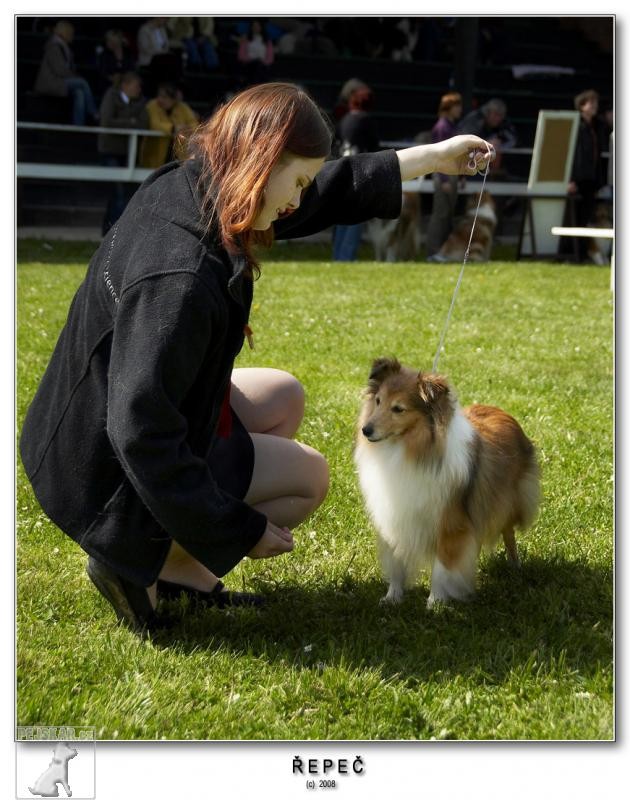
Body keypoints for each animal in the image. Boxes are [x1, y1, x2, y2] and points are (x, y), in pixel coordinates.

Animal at [358, 358, 540, 608]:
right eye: (378, 401)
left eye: (398, 409)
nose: (366, 430)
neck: (406, 449)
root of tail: (500, 410)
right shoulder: (395, 517)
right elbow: (396, 563)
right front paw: (392, 597)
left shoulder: (450, 524)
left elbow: (442, 568)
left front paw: (435, 603)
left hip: (505, 503)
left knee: (508, 533)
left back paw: (515, 566)